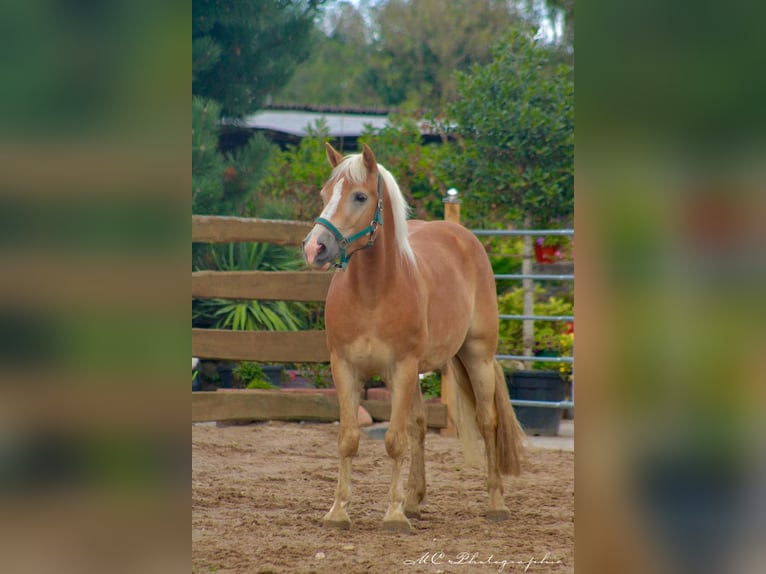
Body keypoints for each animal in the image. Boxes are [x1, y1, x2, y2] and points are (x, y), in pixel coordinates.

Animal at [304, 144, 524, 536]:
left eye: (359, 196)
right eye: (325, 194)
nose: (315, 248)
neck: (372, 293)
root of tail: (462, 236)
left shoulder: (403, 368)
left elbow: (394, 441)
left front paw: (393, 516)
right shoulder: (344, 368)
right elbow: (349, 439)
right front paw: (339, 511)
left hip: (477, 357)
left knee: (487, 422)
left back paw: (496, 503)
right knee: (419, 426)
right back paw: (414, 499)